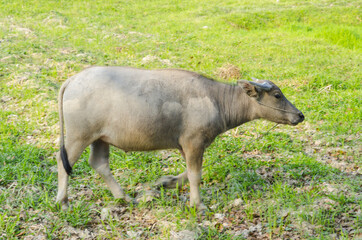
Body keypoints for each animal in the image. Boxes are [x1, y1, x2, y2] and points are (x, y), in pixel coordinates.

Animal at [56, 66, 304, 209]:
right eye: (277, 95)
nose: (300, 115)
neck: (216, 100)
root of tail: (73, 80)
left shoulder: (186, 145)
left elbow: (188, 172)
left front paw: (167, 182)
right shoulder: (194, 142)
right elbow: (195, 175)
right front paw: (198, 205)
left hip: (100, 138)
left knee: (99, 163)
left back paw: (123, 197)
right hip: (79, 135)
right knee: (63, 161)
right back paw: (63, 200)